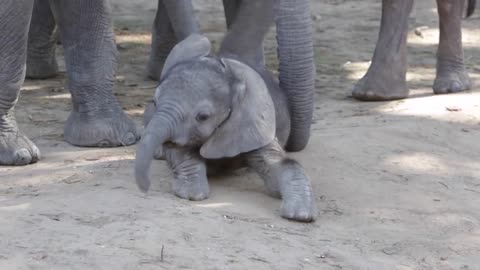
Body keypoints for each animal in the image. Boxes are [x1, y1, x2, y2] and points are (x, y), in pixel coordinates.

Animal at [135, 34, 316, 223]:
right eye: (155, 102)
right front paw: (191, 193)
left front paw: (299, 215)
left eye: (203, 117)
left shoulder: (254, 126)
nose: (145, 188)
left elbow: (279, 165)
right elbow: (180, 151)